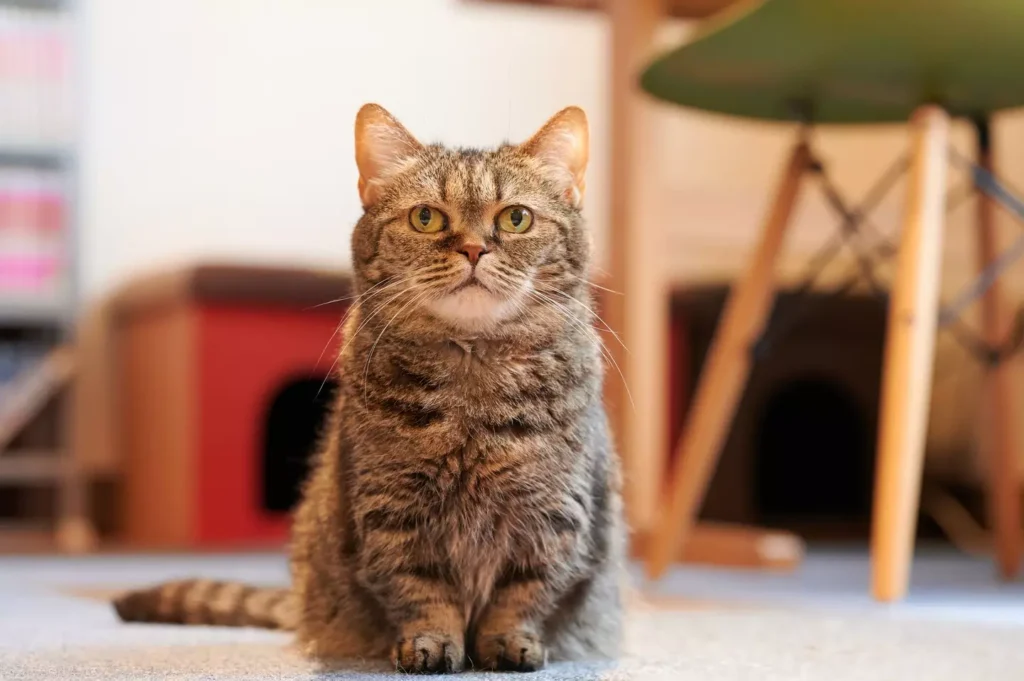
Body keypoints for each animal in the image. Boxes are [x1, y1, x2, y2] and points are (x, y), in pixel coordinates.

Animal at [112, 103, 622, 671]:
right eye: (426, 218)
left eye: (516, 218)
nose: (473, 248)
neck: (472, 380)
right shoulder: (392, 511)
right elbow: (421, 592)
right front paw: (430, 643)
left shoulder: (553, 516)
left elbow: (522, 595)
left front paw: (510, 642)